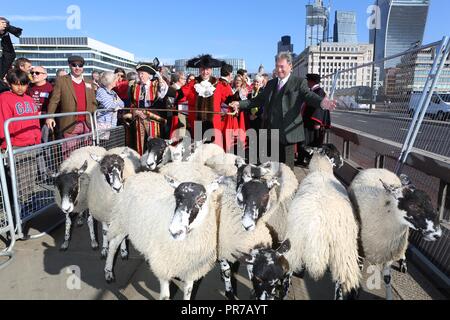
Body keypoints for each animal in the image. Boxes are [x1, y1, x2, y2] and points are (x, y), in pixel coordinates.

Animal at [104, 165, 223, 300]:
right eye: (175, 196)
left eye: (202, 198)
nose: (175, 231)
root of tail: (139, 174)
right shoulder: (164, 266)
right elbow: (165, 296)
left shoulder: (190, 269)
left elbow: (188, 292)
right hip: (122, 221)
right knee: (113, 244)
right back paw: (108, 273)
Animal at [348, 169, 442, 298]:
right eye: (413, 205)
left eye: (431, 204)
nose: (438, 234)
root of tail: (381, 169)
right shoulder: (360, 249)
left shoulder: (390, 251)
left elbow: (387, 278)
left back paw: (403, 264)